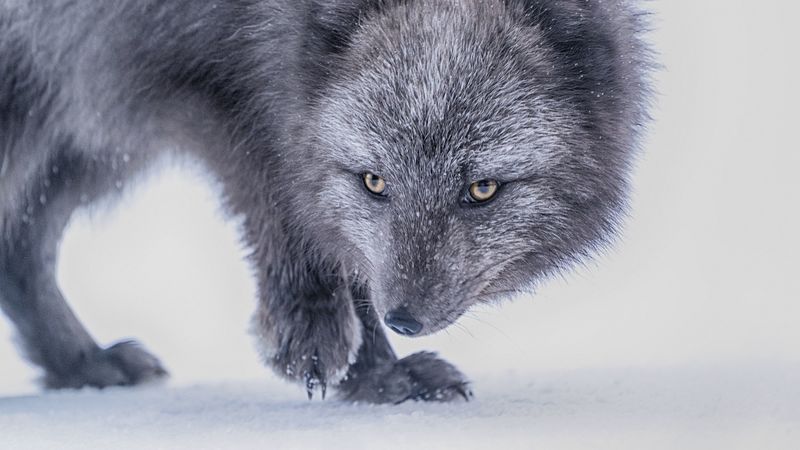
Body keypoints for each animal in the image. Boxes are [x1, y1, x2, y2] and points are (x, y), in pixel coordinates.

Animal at [0, 0, 652, 403]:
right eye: (374, 182)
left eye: (482, 190)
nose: (404, 318)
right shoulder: (199, 78)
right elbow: (287, 195)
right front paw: (319, 335)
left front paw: (377, 377)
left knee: (21, 242)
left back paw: (81, 366)